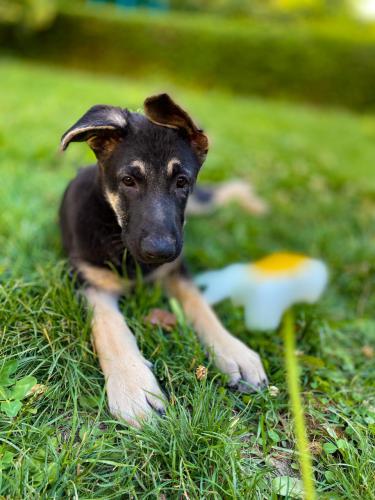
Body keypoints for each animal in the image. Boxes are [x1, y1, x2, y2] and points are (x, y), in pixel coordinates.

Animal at [59, 93, 268, 426]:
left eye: (182, 181)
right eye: (128, 180)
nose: (160, 252)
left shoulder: (177, 270)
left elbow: (201, 305)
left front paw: (233, 350)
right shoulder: (89, 282)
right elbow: (110, 328)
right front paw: (132, 384)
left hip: (199, 206)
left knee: (223, 191)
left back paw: (255, 205)